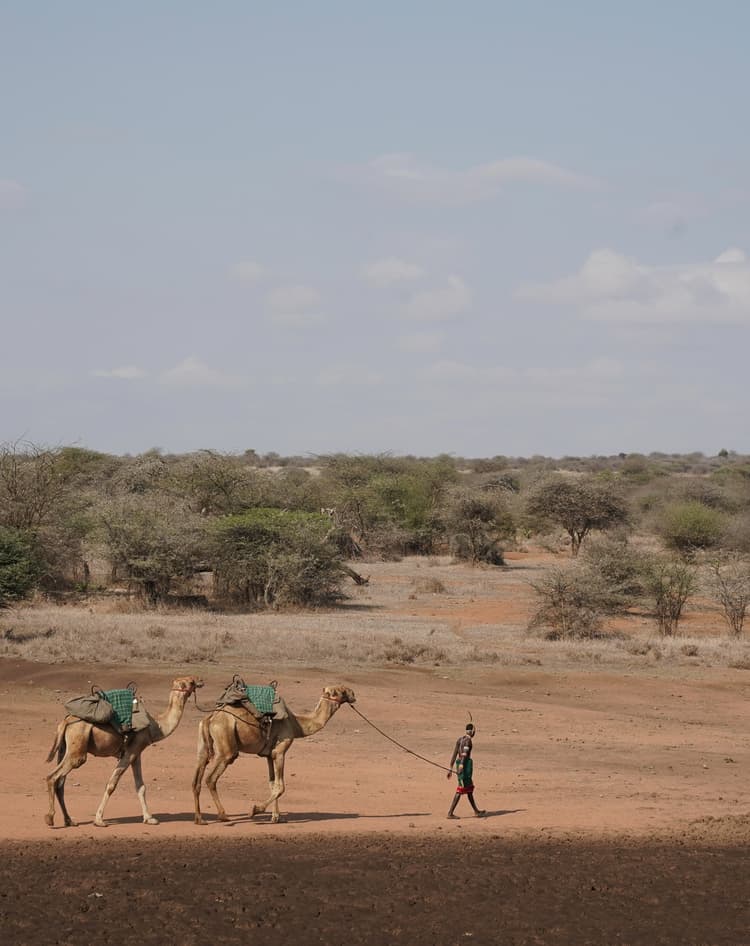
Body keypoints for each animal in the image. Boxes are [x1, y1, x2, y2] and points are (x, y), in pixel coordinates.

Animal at [45, 675, 203, 828]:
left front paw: (149, 818)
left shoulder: (137, 753)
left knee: (60, 783)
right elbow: (111, 785)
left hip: (65, 748)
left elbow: (140, 786)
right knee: (53, 776)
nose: (201, 681)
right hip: (77, 747)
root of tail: (66, 721)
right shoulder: (132, 750)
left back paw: (69, 820)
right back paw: (50, 818)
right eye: (191, 681)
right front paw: (99, 820)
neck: (155, 726)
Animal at [192, 683, 356, 825]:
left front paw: (276, 817)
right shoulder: (280, 751)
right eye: (342, 691)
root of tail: (210, 718)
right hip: (226, 746)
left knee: (197, 778)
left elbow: (273, 784)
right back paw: (223, 816)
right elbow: (281, 786)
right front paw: (255, 810)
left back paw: (200, 819)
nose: (354, 694)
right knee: (211, 778)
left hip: (204, 746)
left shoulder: (269, 755)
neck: (296, 724)